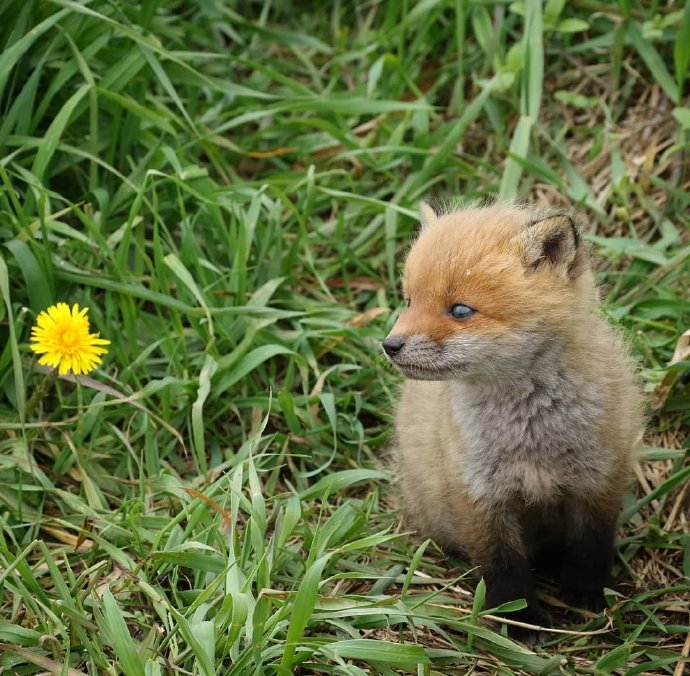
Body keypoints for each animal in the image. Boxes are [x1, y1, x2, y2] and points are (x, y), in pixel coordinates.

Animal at [382, 201, 640, 644]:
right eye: (409, 300)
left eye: (460, 310)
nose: (390, 345)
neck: (530, 433)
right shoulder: (479, 494)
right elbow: (503, 570)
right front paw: (520, 624)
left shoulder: (599, 481)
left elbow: (591, 549)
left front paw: (585, 597)